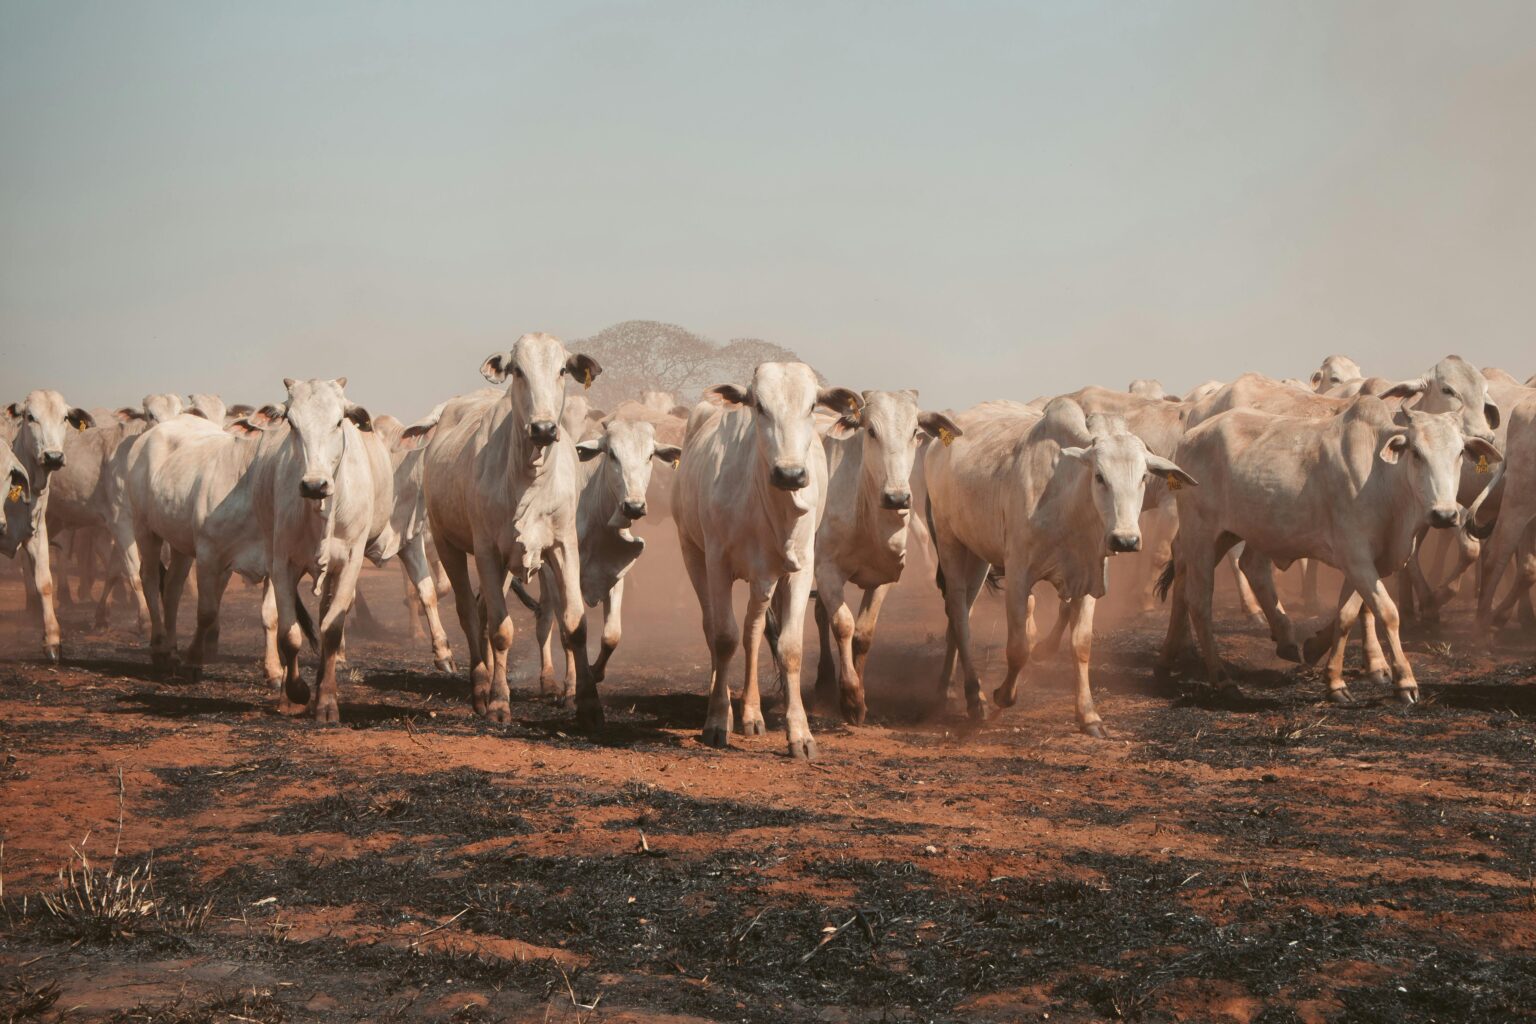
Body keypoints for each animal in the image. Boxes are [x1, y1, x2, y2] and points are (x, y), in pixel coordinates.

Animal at [6, 390, 95, 659]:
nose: (53, 456)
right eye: (30, 417)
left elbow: (44, 582)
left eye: (64, 417)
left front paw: (52, 640)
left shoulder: (36, 533)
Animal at [422, 334, 604, 726]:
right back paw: (480, 686)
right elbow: (502, 631)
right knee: (469, 612)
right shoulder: (487, 550)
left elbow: (575, 623)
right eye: (517, 370)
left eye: (562, 369)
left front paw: (589, 703)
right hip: (447, 542)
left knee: (482, 610)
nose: (543, 428)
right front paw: (498, 702)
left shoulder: (564, 546)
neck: (529, 475)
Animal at [673, 362, 862, 758]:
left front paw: (800, 734)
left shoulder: (799, 569)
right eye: (759, 406)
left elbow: (788, 647)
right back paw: (726, 708)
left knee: (753, 631)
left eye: (812, 406)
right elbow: (723, 637)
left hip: (765, 578)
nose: (790, 473)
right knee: (713, 628)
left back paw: (751, 714)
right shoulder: (716, 562)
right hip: (692, 552)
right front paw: (717, 721)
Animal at [924, 397, 1195, 736]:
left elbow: (1081, 645)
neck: (1069, 502)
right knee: (959, 614)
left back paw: (948, 689)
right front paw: (1002, 695)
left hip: (978, 555)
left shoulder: (1088, 578)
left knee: (960, 615)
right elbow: (1018, 648)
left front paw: (1088, 715)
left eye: (1143, 477)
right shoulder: (1018, 576)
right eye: (1100, 477)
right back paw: (973, 697)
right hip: (950, 541)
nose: (1126, 539)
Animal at [1156, 398, 1500, 703]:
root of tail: (1191, 435)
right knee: (1200, 601)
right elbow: (1387, 612)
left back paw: (1170, 659)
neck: (1383, 481)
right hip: (1201, 533)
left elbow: (1346, 615)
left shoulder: (1366, 563)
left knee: (1197, 579)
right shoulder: (1357, 556)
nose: (1445, 515)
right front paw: (1405, 682)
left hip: (1229, 534)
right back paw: (1222, 679)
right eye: (1416, 452)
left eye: (1460, 453)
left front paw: (1332, 677)